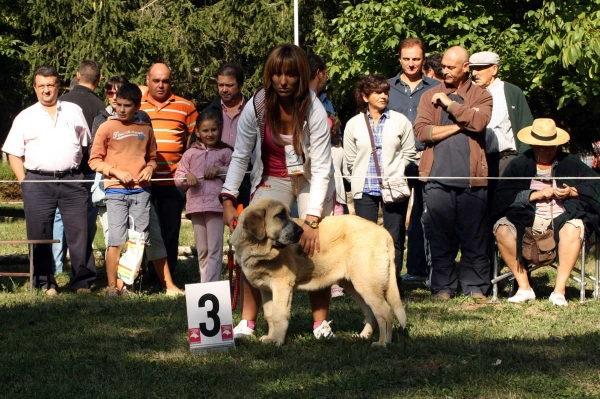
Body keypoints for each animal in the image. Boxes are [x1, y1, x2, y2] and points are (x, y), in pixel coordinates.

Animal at [230, 199, 408, 346]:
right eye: (280, 215)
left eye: (287, 214)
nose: (301, 231)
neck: (257, 250)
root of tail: (383, 232)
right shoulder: (266, 289)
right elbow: (269, 315)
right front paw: (270, 338)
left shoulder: (282, 287)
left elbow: (278, 315)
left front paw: (277, 341)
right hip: (354, 285)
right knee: (371, 312)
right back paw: (363, 336)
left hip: (366, 284)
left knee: (385, 312)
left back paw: (383, 343)